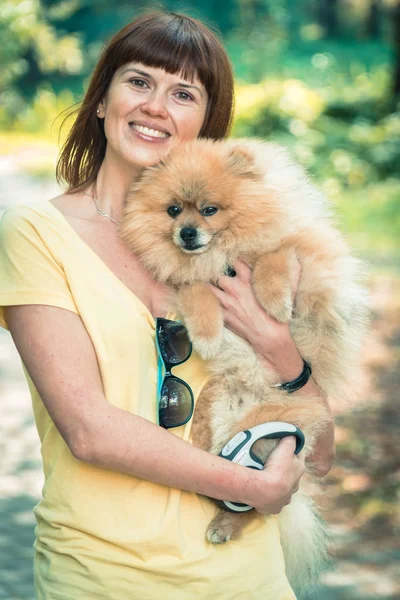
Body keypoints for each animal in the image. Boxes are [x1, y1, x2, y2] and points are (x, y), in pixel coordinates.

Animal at [119, 137, 368, 596]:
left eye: (209, 210)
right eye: (174, 210)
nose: (187, 233)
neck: (223, 252)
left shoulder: (301, 249)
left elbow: (276, 257)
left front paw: (274, 301)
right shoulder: (190, 278)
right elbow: (196, 289)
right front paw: (207, 332)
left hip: (271, 432)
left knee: (260, 502)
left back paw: (225, 525)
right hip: (217, 424)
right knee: (236, 486)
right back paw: (221, 520)